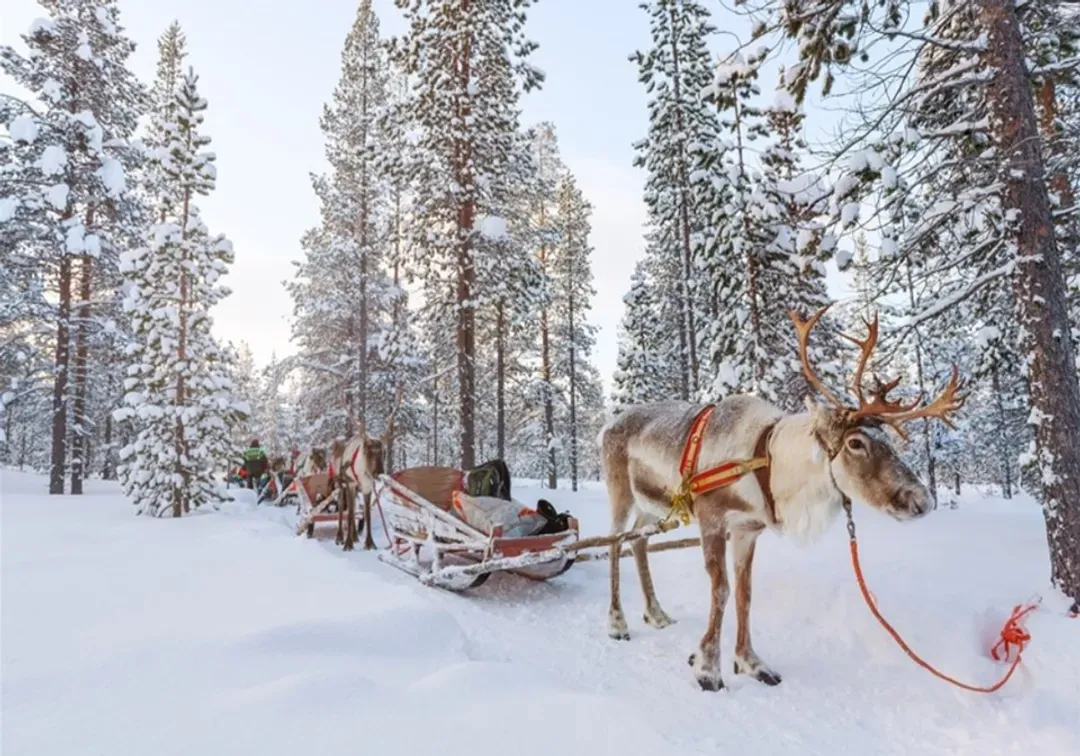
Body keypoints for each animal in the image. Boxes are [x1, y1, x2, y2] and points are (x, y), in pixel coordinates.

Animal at [331, 388, 403, 551]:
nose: (379, 472)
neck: (362, 471)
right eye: (367, 451)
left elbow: (367, 514)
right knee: (342, 510)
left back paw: (355, 536)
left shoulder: (367, 486)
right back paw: (340, 537)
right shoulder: (350, 484)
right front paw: (348, 544)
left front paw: (369, 543)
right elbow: (350, 513)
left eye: (384, 452)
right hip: (340, 484)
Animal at [597, 305, 966, 692]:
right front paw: (707, 668)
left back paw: (656, 613)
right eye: (855, 443)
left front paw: (750, 662)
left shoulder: (746, 529)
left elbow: (744, 594)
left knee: (638, 542)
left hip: (654, 506)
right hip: (620, 492)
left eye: (891, 442)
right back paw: (617, 623)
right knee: (614, 542)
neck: (767, 462)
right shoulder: (712, 520)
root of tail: (606, 426)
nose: (922, 500)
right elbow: (721, 590)